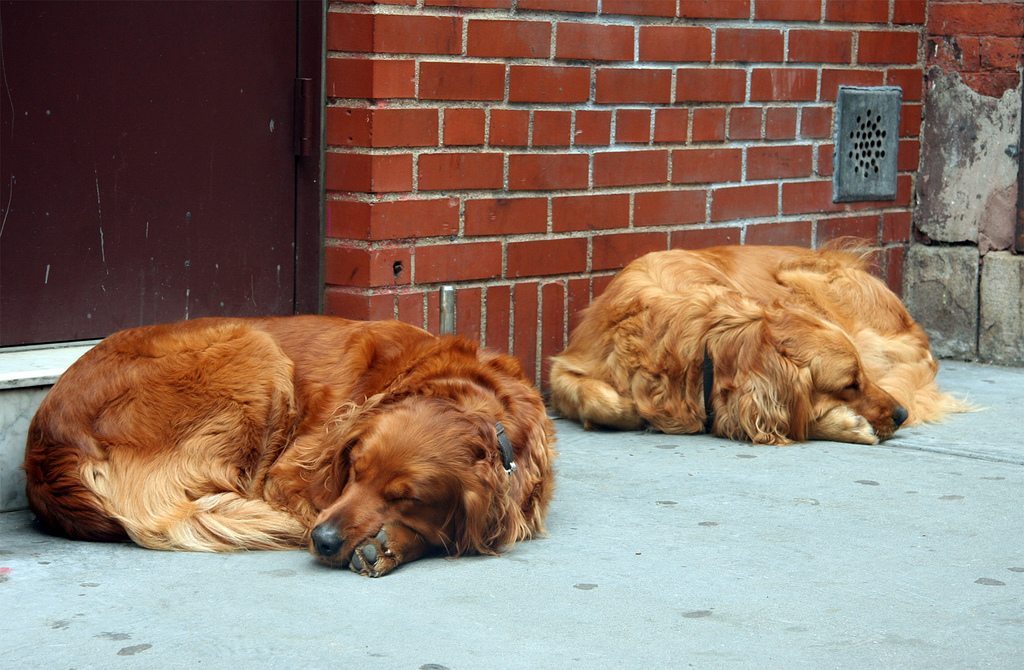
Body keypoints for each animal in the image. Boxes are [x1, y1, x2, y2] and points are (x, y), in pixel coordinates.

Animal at [24, 319, 557, 577]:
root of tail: (45, 446)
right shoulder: (292, 475)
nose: (323, 541)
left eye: (406, 497)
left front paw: (390, 543)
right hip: (256, 351)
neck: (468, 393)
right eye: (353, 469)